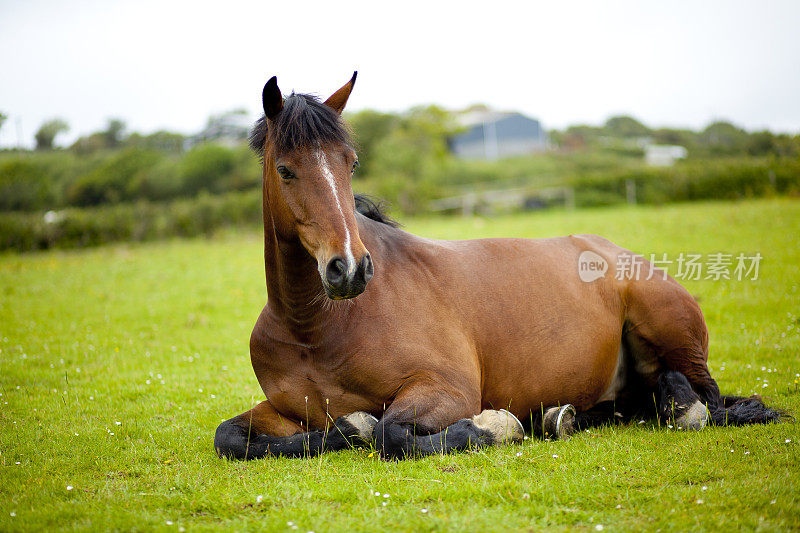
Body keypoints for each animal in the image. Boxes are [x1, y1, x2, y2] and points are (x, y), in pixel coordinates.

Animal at [214, 72, 780, 460]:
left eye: (349, 163)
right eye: (285, 170)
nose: (350, 270)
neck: (315, 330)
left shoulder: (447, 389)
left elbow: (392, 433)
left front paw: (494, 426)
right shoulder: (286, 412)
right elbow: (231, 437)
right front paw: (349, 426)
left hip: (670, 330)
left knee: (706, 399)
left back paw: (680, 406)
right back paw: (561, 416)